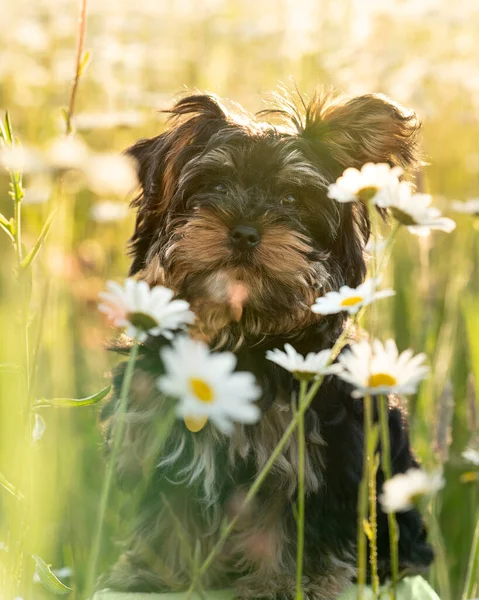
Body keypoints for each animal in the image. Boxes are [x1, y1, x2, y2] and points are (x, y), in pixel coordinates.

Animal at [101, 89, 436, 600]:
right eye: (215, 186)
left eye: (290, 199)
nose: (243, 230)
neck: (240, 334)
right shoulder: (160, 432)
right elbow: (168, 510)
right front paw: (158, 575)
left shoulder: (314, 454)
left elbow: (289, 525)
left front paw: (287, 584)